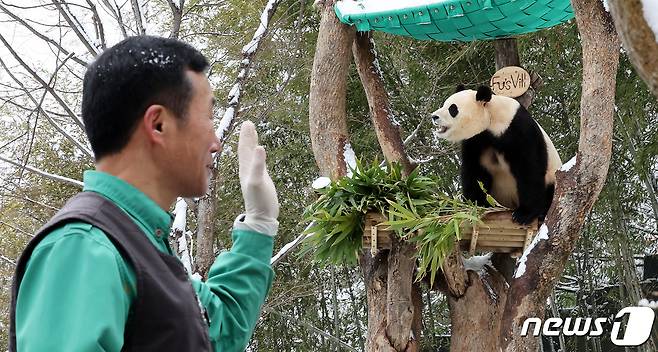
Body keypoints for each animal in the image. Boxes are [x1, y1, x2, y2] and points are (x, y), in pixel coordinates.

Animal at [428, 84, 560, 226]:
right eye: (444, 104)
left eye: (453, 109)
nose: (434, 116)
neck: (492, 118)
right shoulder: (476, 140)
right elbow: (475, 171)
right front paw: (476, 205)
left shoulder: (518, 130)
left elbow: (529, 169)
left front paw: (523, 215)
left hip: (551, 178)